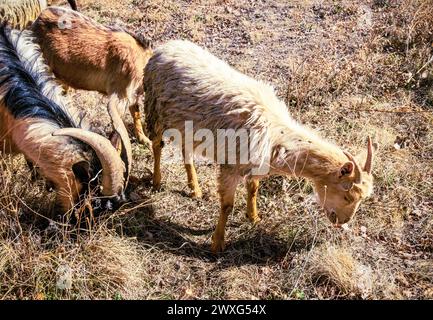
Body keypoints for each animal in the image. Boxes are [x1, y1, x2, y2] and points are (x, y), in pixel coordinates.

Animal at [31, 5, 152, 152]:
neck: (142, 59)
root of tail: (37, 20)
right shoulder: (120, 95)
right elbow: (119, 129)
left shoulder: (131, 95)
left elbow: (136, 113)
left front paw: (144, 140)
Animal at [143, 40, 374, 252]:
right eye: (347, 195)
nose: (342, 222)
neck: (276, 132)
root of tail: (165, 47)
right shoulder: (231, 164)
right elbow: (227, 206)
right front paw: (218, 243)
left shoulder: (254, 164)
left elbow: (253, 188)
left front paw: (253, 217)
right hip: (155, 109)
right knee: (157, 145)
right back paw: (157, 181)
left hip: (186, 125)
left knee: (186, 151)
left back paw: (195, 189)